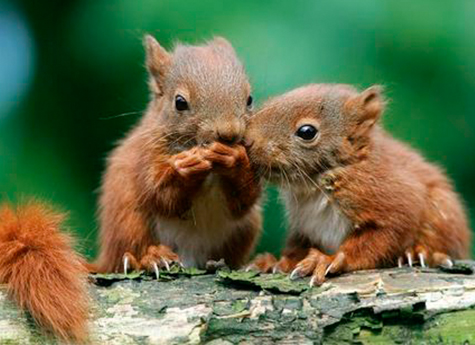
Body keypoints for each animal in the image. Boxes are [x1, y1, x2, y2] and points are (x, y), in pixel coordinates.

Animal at [0, 35, 262, 342]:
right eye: (180, 102)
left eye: (249, 99)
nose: (229, 134)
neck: (211, 170)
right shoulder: (143, 160)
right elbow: (163, 196)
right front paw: (185, 167)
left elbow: (242, 201)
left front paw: (235, 161)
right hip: (129, 220)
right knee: (129, 252)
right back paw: (148, 258)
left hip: (246, 229)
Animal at [245, 83, 472, 284]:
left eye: (307, 131)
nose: (247, 142)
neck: (313, 188)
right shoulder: (304, 226)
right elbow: (296, 247)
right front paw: (276, 262)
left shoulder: (393, 200)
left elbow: (379, 239)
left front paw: (326, 260)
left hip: (443, 212)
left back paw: (419, 253)